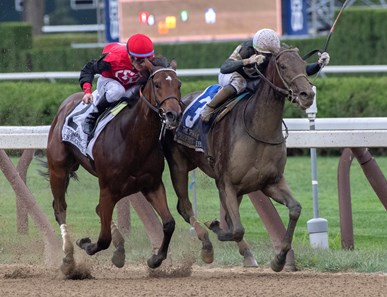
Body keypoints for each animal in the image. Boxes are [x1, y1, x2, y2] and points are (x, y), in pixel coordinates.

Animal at [46, 57, 183, 276]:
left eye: (178, 84)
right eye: (157, 84)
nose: (173, 115)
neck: (133, 137)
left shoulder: (152, 184)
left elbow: (169, 223)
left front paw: (155, 259)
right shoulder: (107, 188)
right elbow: (103, 238)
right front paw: (86, 243)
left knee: (97, 209)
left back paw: (119, 250)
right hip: (58, 169)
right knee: (60, 208)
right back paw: (68, 259)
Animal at [163, 46, 316, 270]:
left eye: (304, 65)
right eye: (283, 66)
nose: (308, 95)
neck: (258, 129)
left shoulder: (270, 182)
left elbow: (295, 209)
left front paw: (279, 259)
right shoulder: (226, 182)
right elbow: (235, 229)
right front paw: (215, 226)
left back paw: (247, 254)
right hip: (179, 166)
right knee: (185, 207)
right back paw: (207, 247)